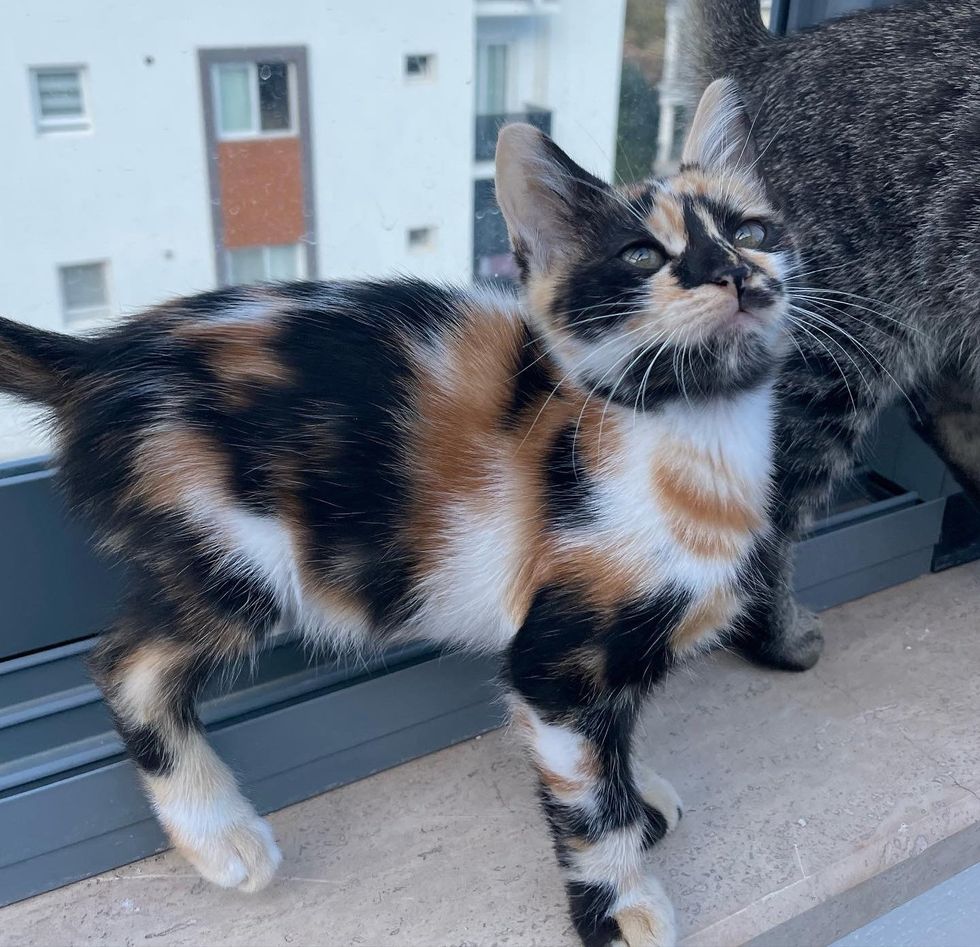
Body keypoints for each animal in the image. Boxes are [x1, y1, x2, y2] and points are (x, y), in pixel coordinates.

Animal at [0, 83, 792, 947]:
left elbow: (610, 740)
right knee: (127, 666)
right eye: (643, 256)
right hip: (234, 546)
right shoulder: (555, 653)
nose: (735, 273)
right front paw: (620, 903)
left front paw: (638, 790)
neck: (698, 438)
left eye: (752, 232)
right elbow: (586, 794)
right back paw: (219, 832)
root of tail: (105, 357)